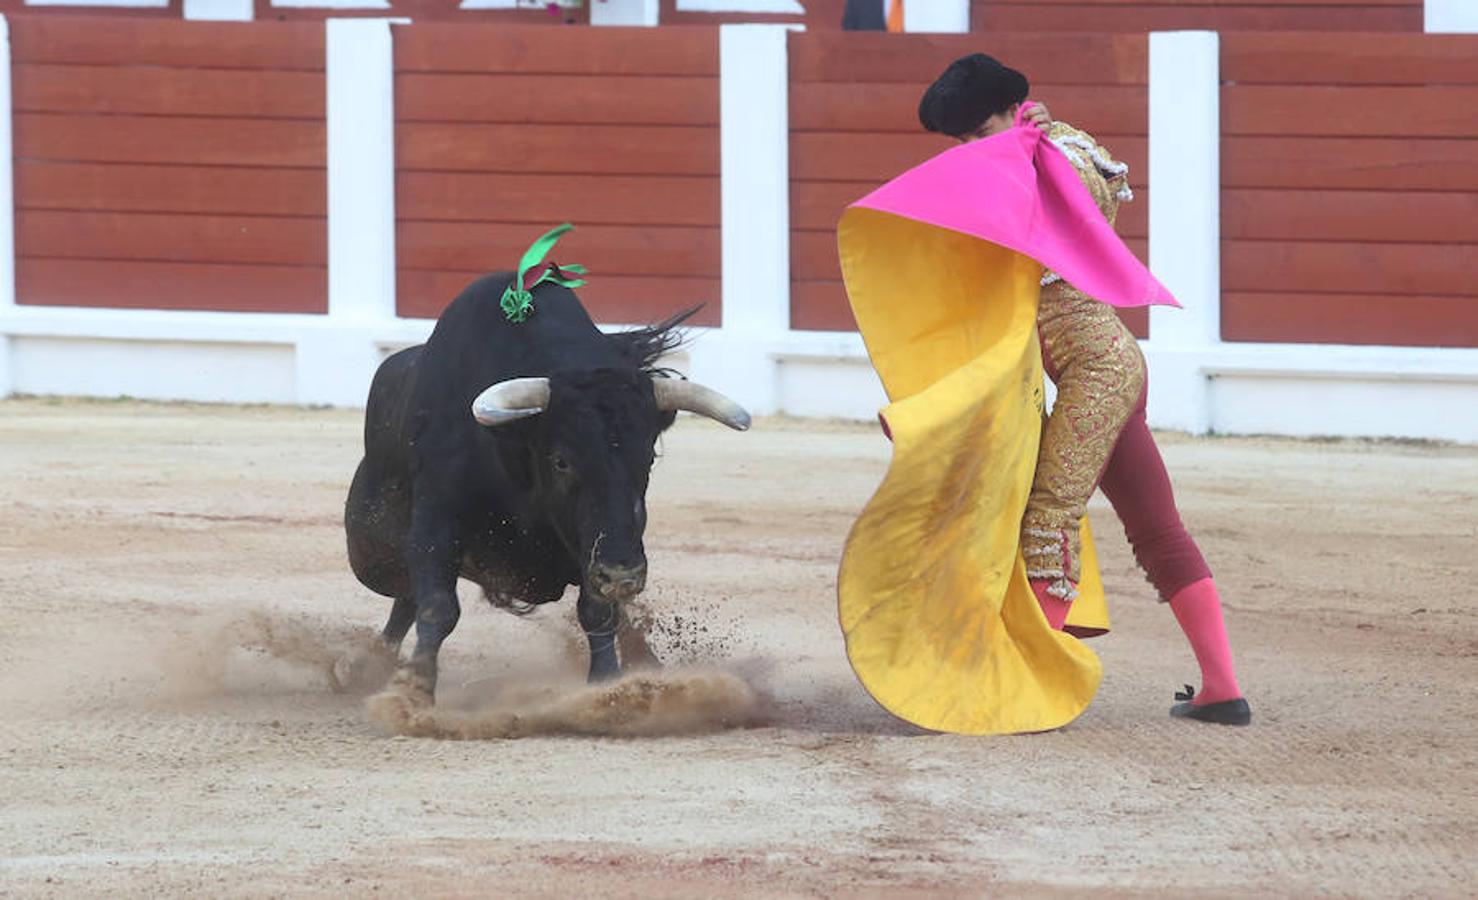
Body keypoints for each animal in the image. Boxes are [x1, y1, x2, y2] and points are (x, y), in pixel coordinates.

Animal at [339, 273, 744, 703]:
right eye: (562, 461)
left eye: (648, 458)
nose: (624, 575)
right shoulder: (436, 519)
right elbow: (437, 606)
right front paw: (413, 693)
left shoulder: (598, 542)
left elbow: (599, 609)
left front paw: (608, 684)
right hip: (374, 552)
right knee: (405, 593)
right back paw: (362, 667)